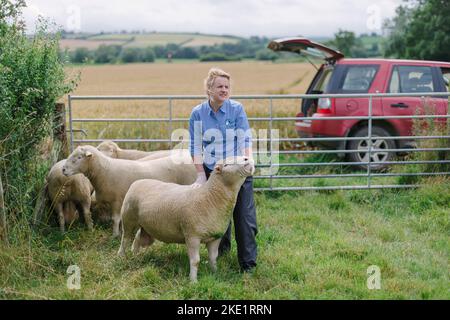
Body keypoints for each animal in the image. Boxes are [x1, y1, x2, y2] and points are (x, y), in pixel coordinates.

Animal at [62, 146, 196, 236]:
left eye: (79, 157)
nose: (63, 169)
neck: (104, 170)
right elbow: (121, 219)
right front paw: (121, 232)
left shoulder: (117, 200)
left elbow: (115, 219)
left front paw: (115, 235)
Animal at [118, 156, 255, 282]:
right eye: (226, 165)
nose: (246, 159)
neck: (210, 197)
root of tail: (137, 182)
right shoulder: (192, 236)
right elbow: (195, 261)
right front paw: (193, 281)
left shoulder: (216, 237)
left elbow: (213, 258)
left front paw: (215, 273)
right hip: (129, 219)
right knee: (125, 239)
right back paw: (122, 257)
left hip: (146, 226)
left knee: (137, 238)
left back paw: (135, 256)